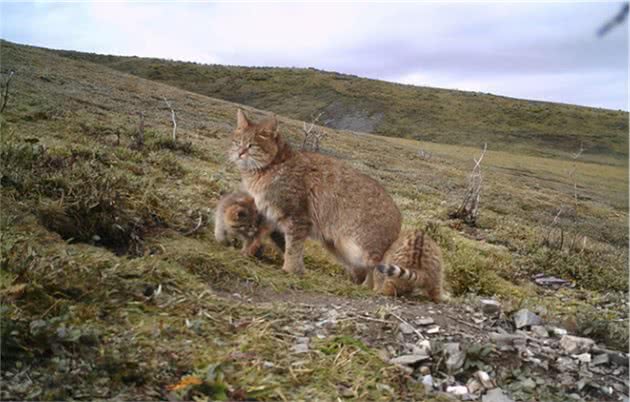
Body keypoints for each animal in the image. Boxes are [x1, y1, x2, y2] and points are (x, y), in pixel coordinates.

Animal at [230, 107, 402, 282]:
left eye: (252, 145)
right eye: (237, 142)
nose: (240, 152)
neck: (271, 166)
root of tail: (399, 215)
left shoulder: (297, 217)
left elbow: (293, 248)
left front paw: (290, 270)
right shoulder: (270, 213)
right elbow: (259, 236)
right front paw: (246, 253)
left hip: (361, 250)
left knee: (378, 271)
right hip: (339, 247)